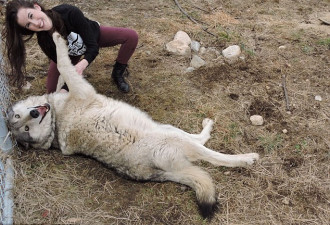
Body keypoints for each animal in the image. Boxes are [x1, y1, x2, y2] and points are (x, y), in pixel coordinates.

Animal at [7, 32, 260, 218]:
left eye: (23, 120)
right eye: (25, 127)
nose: (34, 111)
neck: (56, 120)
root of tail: (154, 174)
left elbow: (61, 72)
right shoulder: (79, 88)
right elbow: (62, 63)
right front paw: (59, 40)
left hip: (165, 128)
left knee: (199, 139)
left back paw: (208, 126)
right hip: (172, 139)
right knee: (213, 157)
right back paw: (247, 158)